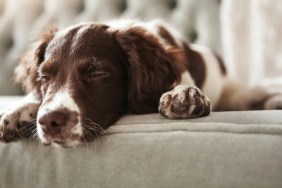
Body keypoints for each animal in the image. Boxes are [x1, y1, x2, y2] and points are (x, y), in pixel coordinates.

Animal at [0, 19, 282, 148]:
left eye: (96, 73)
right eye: (44, 78)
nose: (50, 122)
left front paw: (185, 94)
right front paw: (18, 110)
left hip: (236, 93)